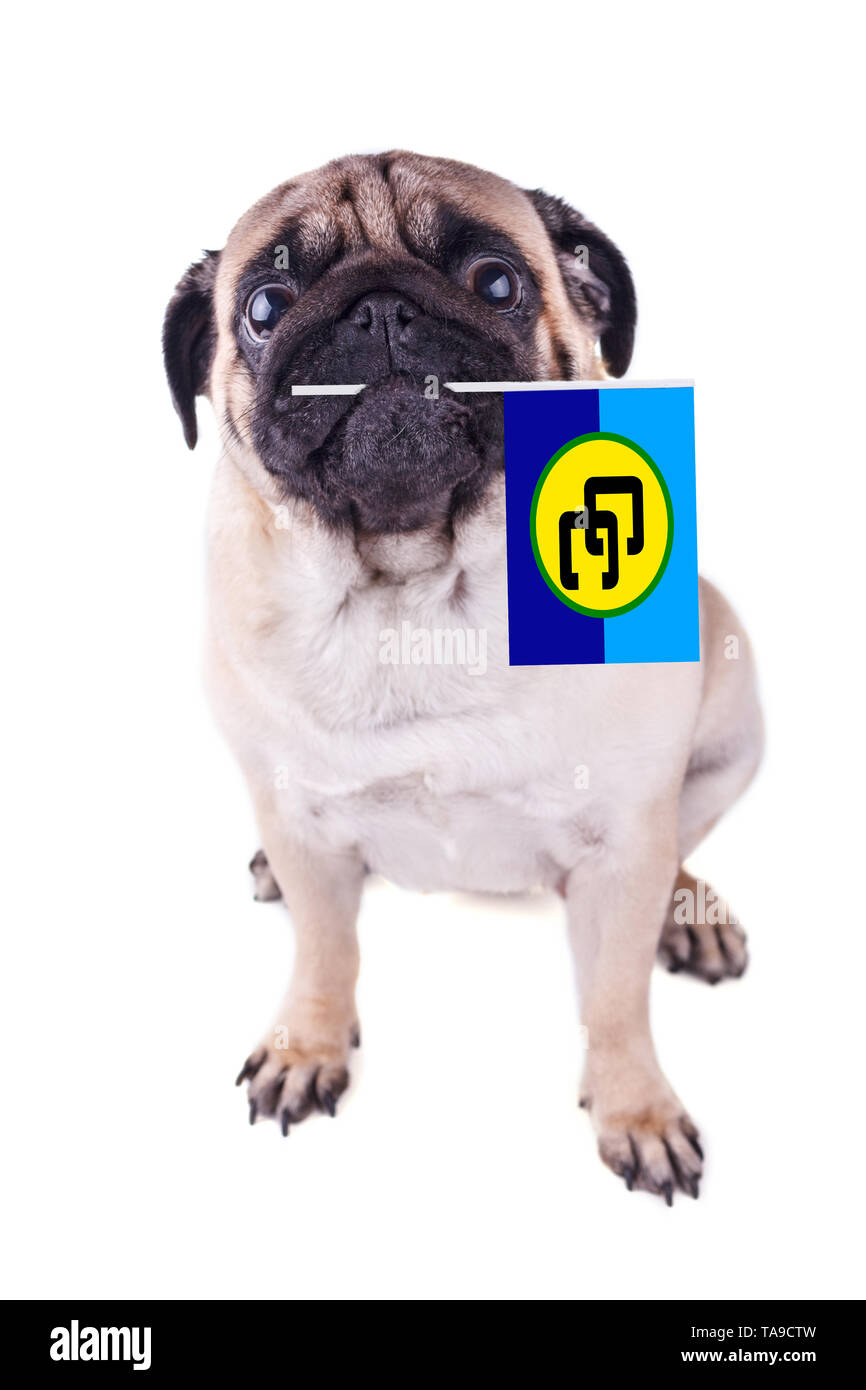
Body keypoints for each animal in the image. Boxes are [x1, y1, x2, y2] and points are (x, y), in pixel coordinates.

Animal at [164, 149, 767, 1195]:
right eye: (267, 306)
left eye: (496, 283)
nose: (378, 310)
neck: (418, 595)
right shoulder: (300, 818)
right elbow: (325, 950)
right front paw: (306, 1045)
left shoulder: (623, 842)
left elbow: (617, 999)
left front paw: (636, 1108)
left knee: (679, 840)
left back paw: (688, 914)